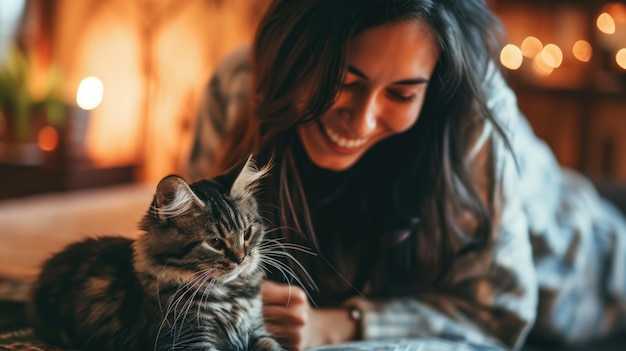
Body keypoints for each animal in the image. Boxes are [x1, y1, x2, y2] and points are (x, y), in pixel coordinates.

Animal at [28, 158, 282, 350]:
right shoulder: (187, 339)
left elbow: (273, 346)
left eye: (247, 233)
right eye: (215, 242)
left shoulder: (257, 330)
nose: (241, 258)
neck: (232, 296)